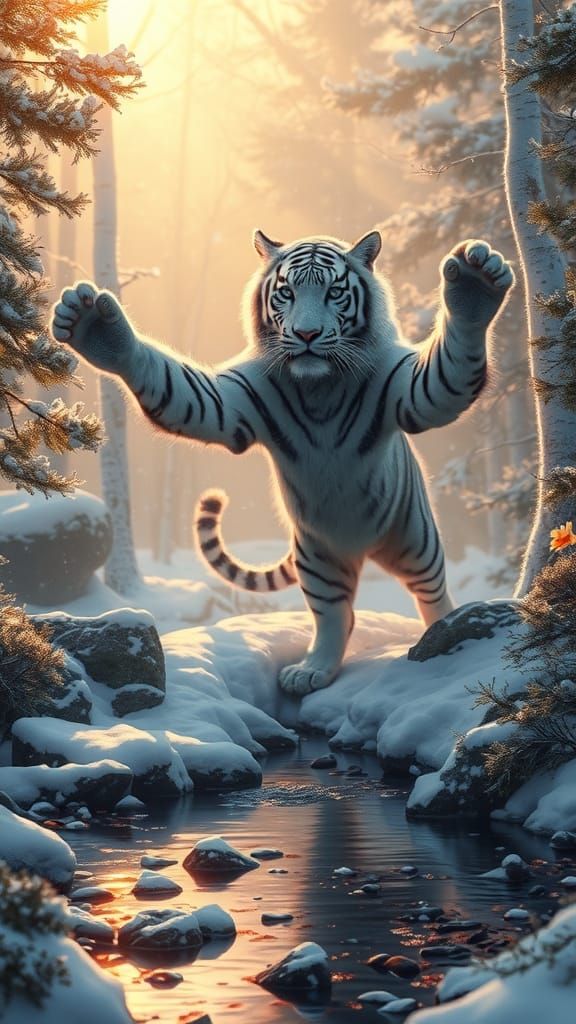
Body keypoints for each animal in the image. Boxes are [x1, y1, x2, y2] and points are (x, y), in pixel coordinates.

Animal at [51, 229, 514, 695]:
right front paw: (99, 331)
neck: (319, 388)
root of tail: (360, 550)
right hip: (318, 558)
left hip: (414, 537)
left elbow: (444, 378)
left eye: (334, 292)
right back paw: (312, 670)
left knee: (431, 592)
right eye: (286, 293)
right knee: (336, 617)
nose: (307, 333)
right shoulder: (231, 402)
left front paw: (473, 286)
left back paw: (445, 630)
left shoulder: (407, 388)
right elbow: (177, 389)